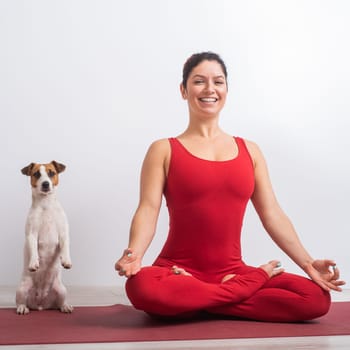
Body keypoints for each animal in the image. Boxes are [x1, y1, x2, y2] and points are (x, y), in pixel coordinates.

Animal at [16, 161, 72, 314]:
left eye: (51, 173)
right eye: (36, 174)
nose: (46, 184)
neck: (46, 205)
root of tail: (41, 304)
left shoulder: (63, 233)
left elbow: (65, 247)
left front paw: (66, 260)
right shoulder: (31, 234)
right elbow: (34, 249)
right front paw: (34, 263)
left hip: (62, 290)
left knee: (60, 303)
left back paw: (65, 306)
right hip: (21, 289)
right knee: (20, 302)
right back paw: (22, 308)